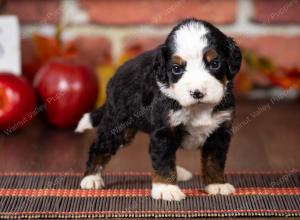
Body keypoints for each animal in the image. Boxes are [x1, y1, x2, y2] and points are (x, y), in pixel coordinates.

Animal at [75, 18, 241, 201]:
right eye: (176, 68)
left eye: (215, 64)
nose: (197, 92)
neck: (198, 108)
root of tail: (116, 75)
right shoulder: (164, 130)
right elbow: (163, 160)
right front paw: (167, 188)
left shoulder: (220, 130)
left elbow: (214, 161)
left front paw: (217, 185)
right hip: (118, 126)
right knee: (100, 147)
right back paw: (91, 178)